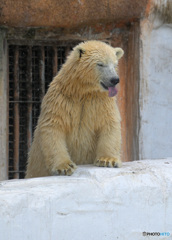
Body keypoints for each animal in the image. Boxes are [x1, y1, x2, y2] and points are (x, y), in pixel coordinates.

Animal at [25, 39, 123, 178]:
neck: (82, 91)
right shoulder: (61, 99)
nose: (114, 80)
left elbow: (109, 123)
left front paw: (107, 160)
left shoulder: (101, 101)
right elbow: (54, 127)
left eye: (114, 65)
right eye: (100, 64)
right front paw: (64, 167)